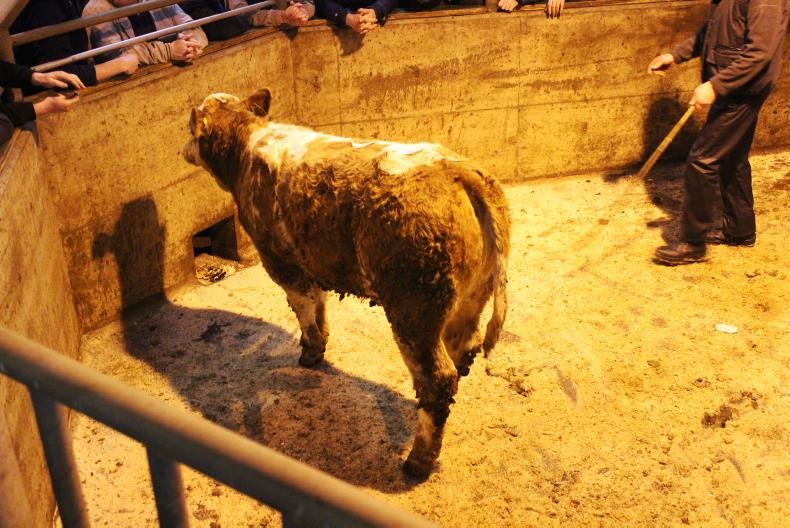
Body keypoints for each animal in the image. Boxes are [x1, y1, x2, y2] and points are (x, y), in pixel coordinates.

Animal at [182, 88, 511, 478]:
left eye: (191, 127)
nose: (184, 149)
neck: (248, 145)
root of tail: (455, 172)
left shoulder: (283, 264)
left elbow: (305, 311)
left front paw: (310, 353)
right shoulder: (313, 262)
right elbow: (320, 307)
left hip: (413, 310)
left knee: (436, 380)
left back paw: (417, 460)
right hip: (471, 296)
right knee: (465, 343)